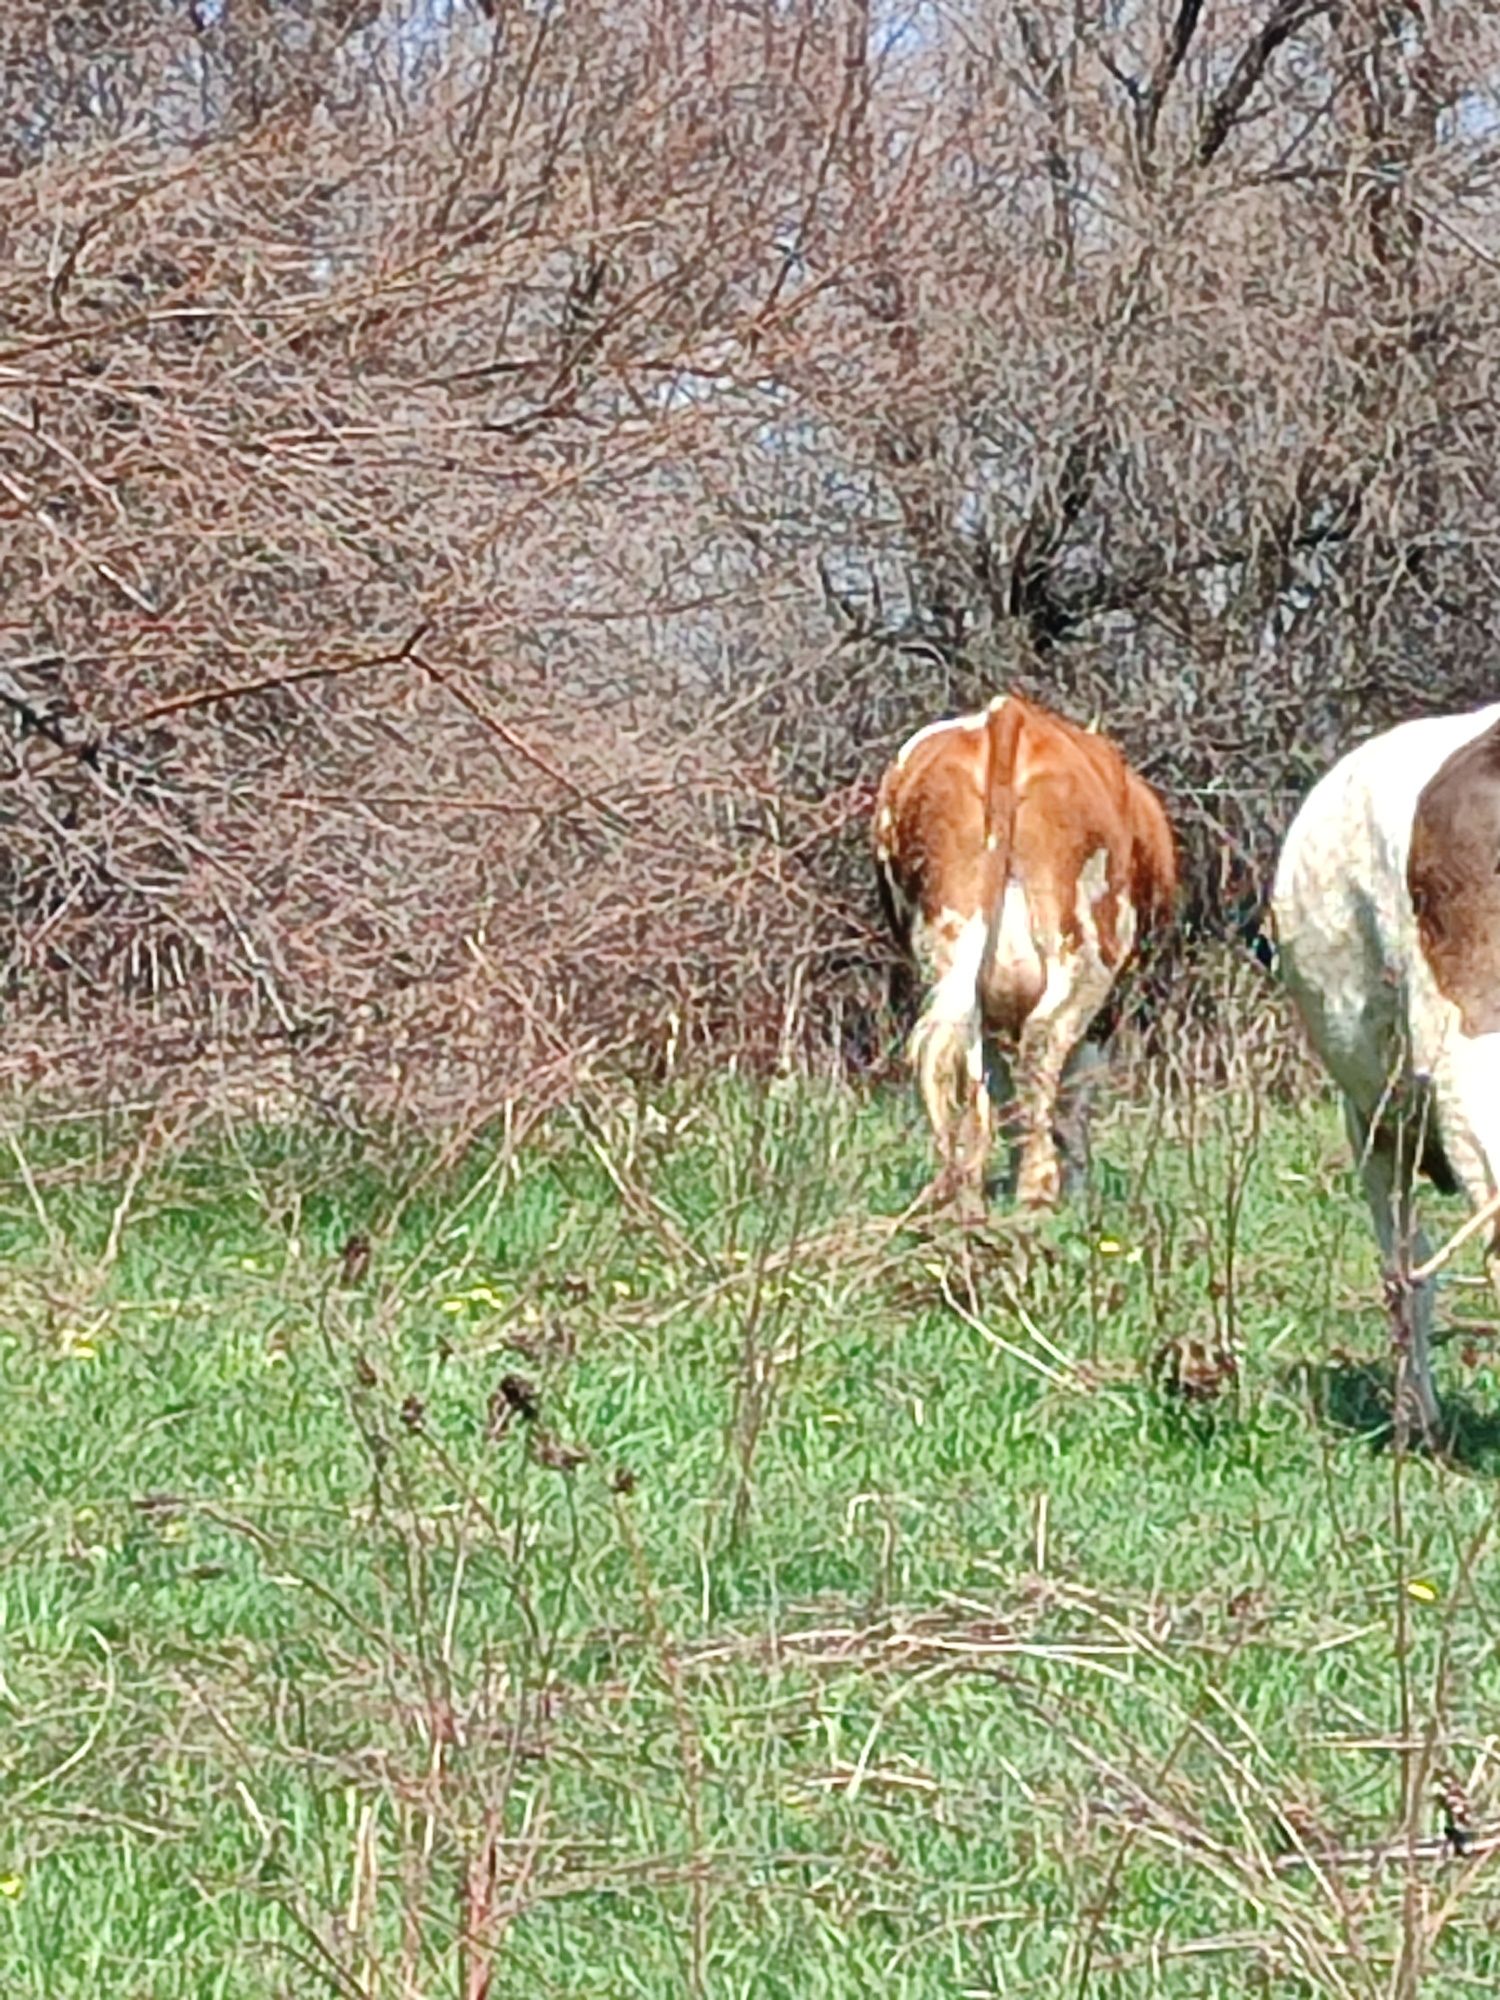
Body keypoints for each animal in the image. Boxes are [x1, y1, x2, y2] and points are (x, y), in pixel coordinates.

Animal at [876, 696, 1184, 1208]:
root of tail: (1007, 714)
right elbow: (1076, 1094)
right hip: (1086, 950)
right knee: (1044, 1039)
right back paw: (1036, 1188)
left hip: (949, 945)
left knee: (962, 1053)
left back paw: (968, 1192)